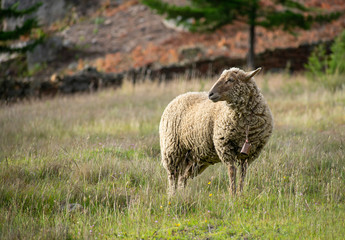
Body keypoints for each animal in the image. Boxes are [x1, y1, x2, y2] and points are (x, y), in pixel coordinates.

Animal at [159, 66, 274, 196]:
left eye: (230, 80)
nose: (210, 94)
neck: (245, 126)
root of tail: (179, 96)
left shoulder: (249, 154)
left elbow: (242, 173)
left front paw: (240, 193)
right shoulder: (225, 147)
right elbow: (232, 171)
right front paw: (233, 194)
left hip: (195, 158)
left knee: (183, 178)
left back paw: (181, 195)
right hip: (172, 150)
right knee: (173, 176)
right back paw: (172, 195)